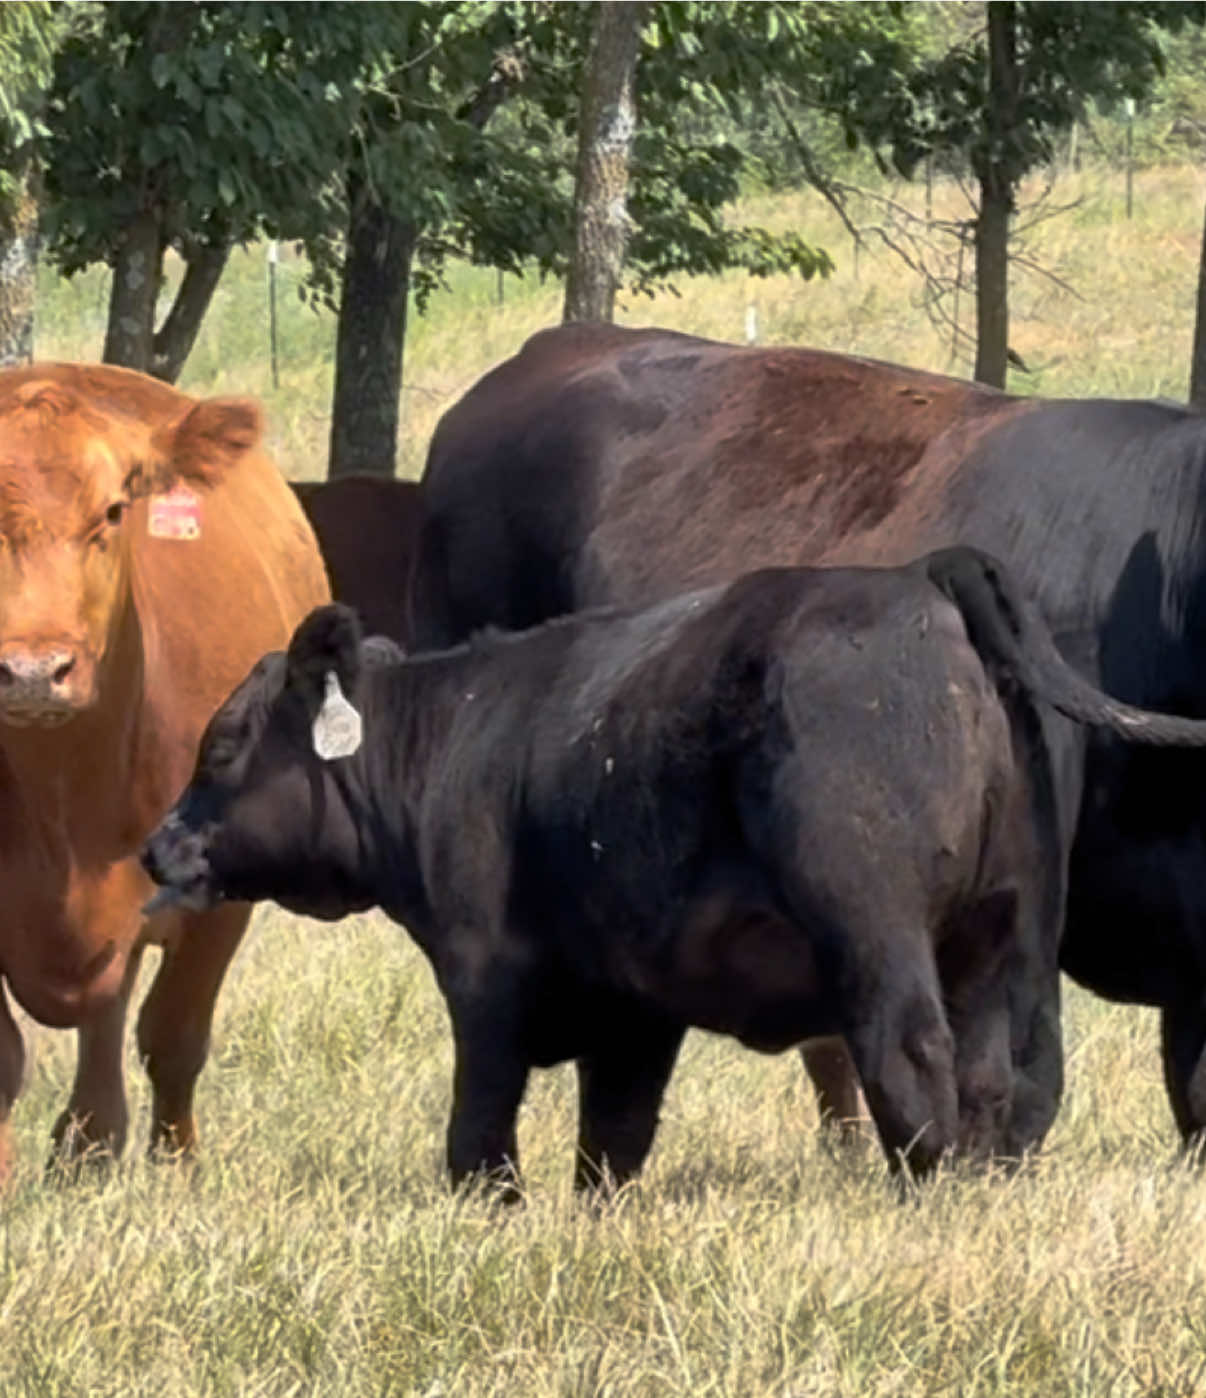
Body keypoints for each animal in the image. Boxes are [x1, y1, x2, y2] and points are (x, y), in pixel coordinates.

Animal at [142, 549, 1206, 1193]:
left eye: (224, 743)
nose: (158, 845)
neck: (460, 739)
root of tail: (923, 576)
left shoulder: (486, 982)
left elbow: (479, 1137)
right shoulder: (632, 1008)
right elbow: (612, 1141)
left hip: (878, 932)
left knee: (913, 1066)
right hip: (1004, 931)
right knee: (996, 1085)